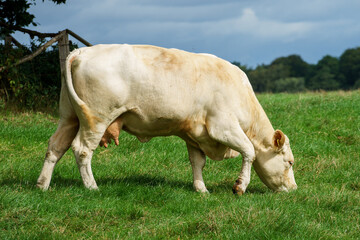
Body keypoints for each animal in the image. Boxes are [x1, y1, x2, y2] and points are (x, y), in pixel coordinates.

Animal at [35, 44, 296, 195]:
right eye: (290, 162)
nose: (293, 189)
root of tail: (81, 51)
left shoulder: (194, 134)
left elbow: (197, 162)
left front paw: (201, 189)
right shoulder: (222, 127)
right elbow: (249, 150)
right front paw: (240, 185)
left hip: (68, 117)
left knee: (55, 147)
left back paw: (42, 185)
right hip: (96, 117)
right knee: (82, 150)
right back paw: (92, 187)